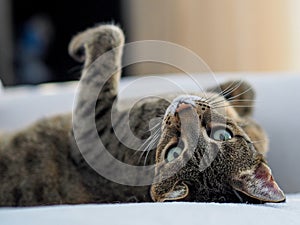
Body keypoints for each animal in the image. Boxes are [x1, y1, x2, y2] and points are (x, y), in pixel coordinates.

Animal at [0, 24, 284, 206]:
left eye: (172, 153)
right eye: (222, 135)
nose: (183, 110)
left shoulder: (91, 131)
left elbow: (110, 39)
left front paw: (78, 42)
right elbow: (244, 88)